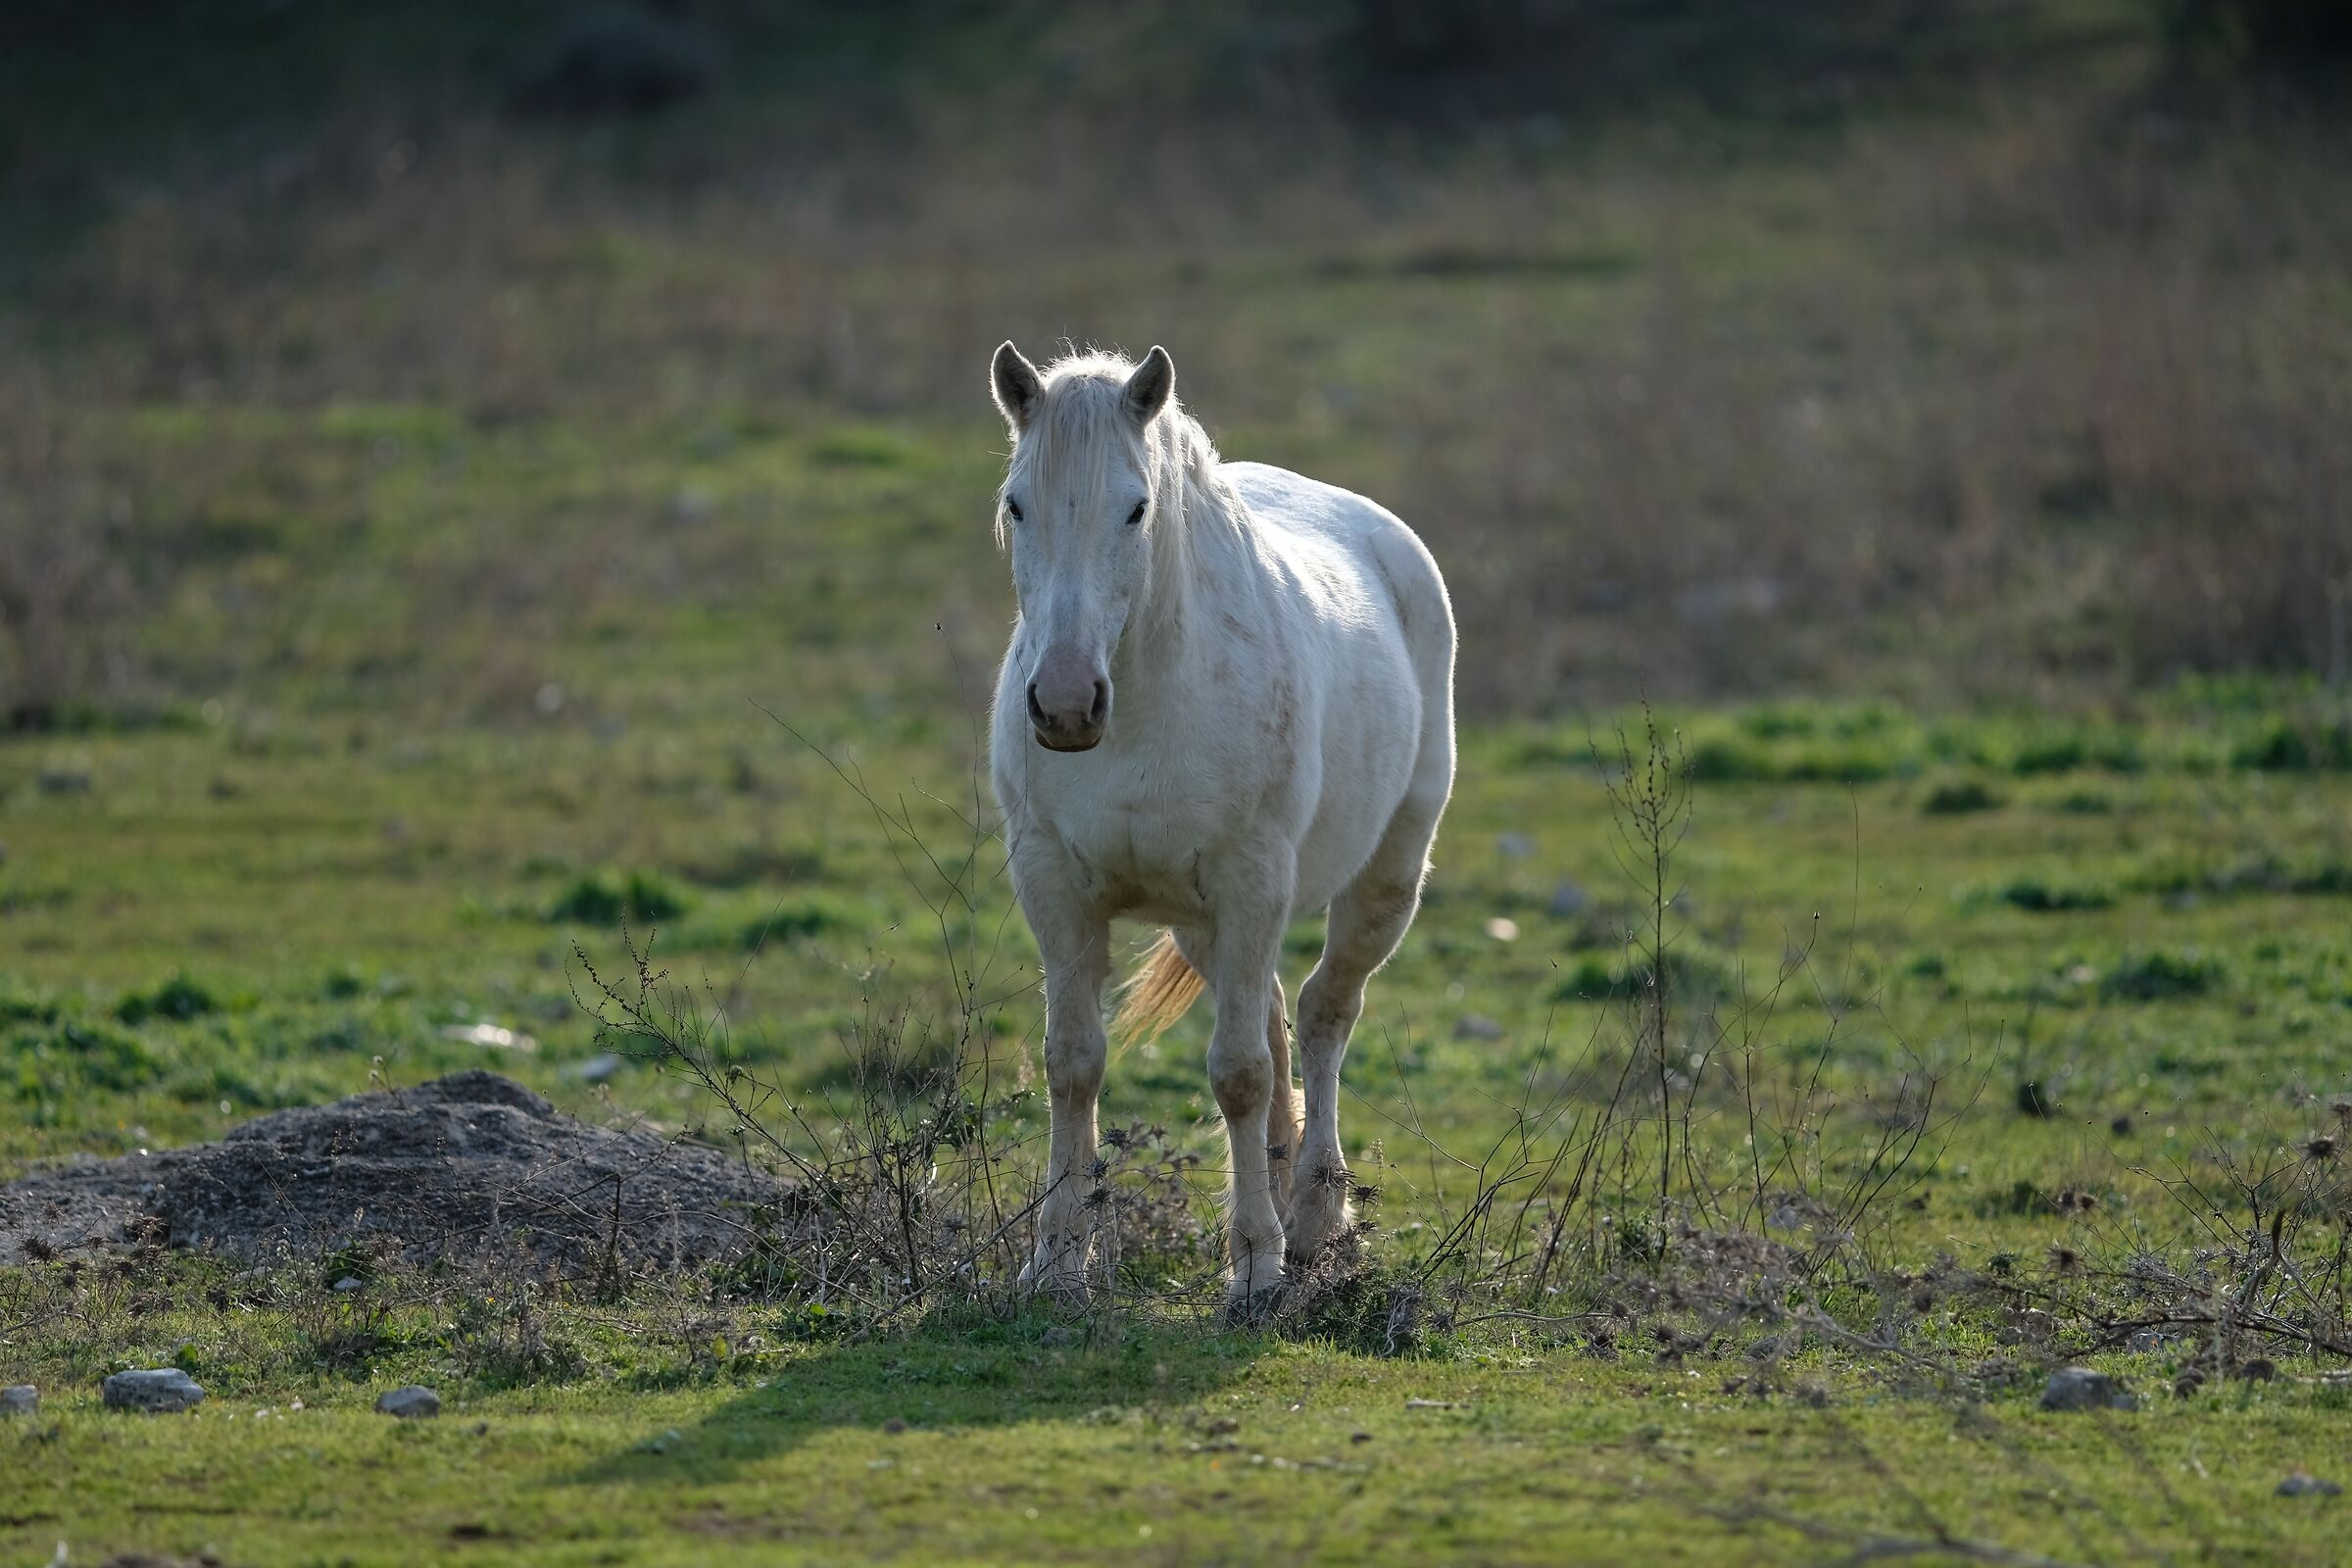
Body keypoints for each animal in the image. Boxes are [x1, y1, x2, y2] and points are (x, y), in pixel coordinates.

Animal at [985, 341, 1456, 1315]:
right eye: (1018, 503)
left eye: (1137, 507)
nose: (1064, 704)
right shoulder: (1054, 887)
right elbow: (1072, 1063)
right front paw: (1055, 1264)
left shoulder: (1252, 882)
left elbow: (1238, 1074)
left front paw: (1255, 1267)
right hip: (1205, 927)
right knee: (1277, 1024)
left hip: (1380, 881)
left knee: (1321, 1017)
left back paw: (1312, 1223)